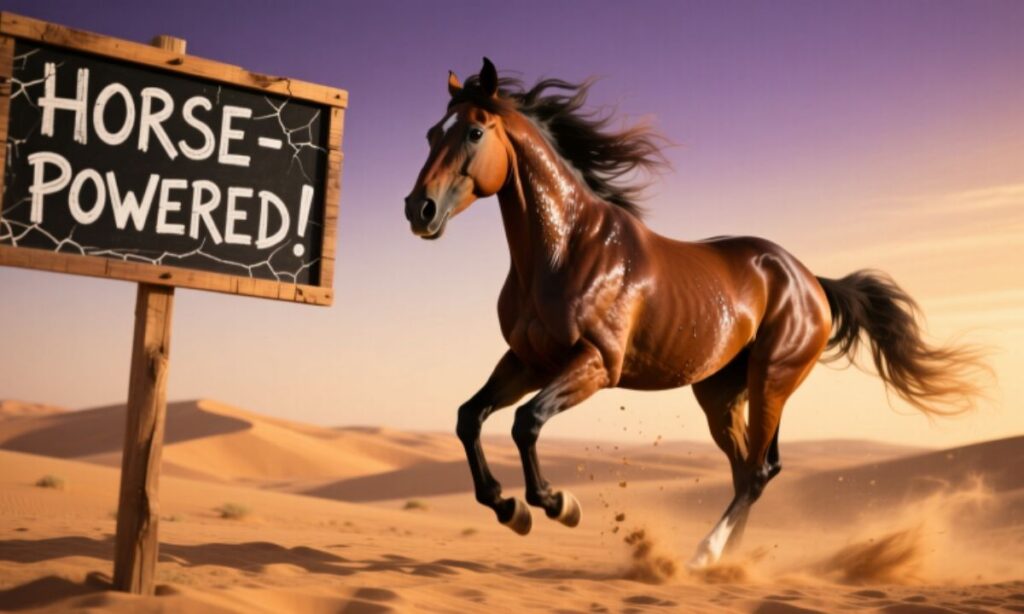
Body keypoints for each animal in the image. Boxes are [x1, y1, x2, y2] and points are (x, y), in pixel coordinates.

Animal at [403, 58, 986, 568]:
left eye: (474, 133)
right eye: (432, 133)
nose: (419, 209)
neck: (564, 248)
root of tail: (812, 282)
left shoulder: (595, 365)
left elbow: (526, 423)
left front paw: (556, 505)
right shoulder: (528, 360)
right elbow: (469, 417)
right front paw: (509, 508)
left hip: (772, 380)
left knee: (757, 472)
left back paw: (707, 554)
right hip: (720, 393)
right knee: (748, 470)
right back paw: (728, 559)